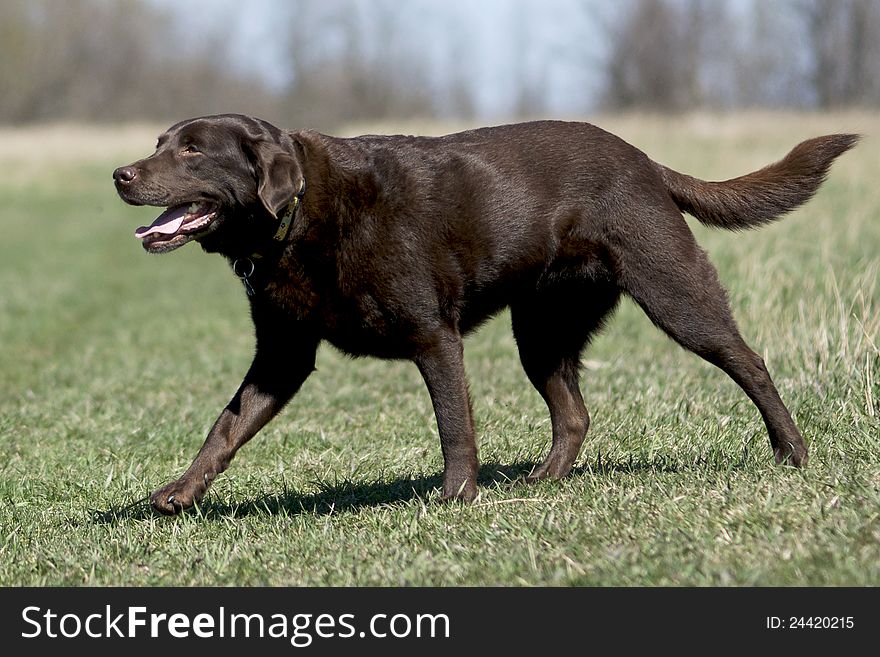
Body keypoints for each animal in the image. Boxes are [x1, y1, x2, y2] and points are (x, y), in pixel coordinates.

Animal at [113, 114, 856, 512]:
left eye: (192, 149)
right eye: (159, 142)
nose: (121, 174)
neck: (295, 220)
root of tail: (646, 160)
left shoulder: (433, 337)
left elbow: (453, 425)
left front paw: (455, 497)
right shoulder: (282, 356)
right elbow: (225, 428)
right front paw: (181, 491)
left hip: (676, 294)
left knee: (748, 361)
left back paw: (792, 451)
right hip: (542, 330)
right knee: (573, 412)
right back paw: (545, 480)